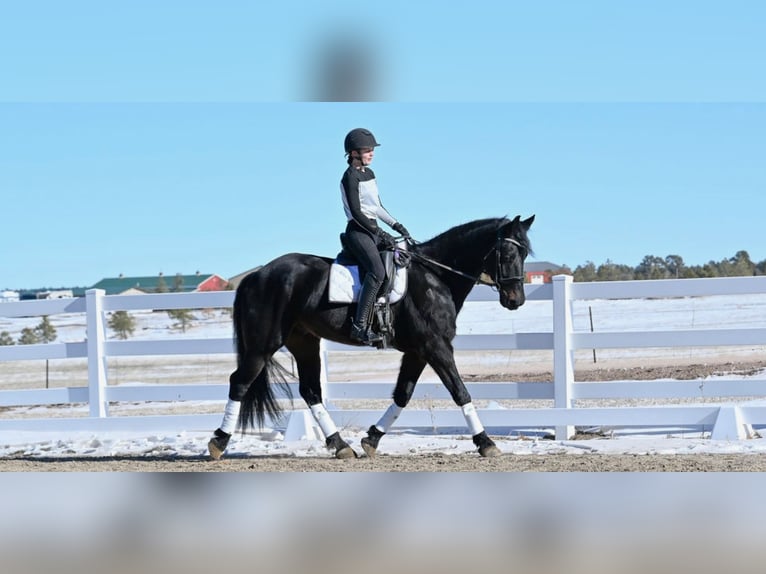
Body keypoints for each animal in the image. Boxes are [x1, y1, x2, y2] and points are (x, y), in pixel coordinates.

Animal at [208, 215, 535, 460]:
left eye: (525, 253)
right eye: (508, 253)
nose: (516, 300)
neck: (436, 277)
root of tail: (258, 275)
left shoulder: (418, 351)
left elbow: (402, 395)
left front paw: (372, 439)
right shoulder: (436, 347)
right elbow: (460, 392)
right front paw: (486, 443)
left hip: (304, 342)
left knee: (310, 391)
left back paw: (341, 446)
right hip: (264, 344)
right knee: (240, 382)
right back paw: (218, 443)